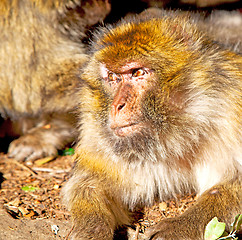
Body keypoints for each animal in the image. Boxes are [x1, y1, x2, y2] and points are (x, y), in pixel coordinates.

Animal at [61, 9, 241, 240]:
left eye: (137, 73)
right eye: (113, 77)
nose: (117, 106)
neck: (179, 133)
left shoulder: (232, 113)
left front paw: (178, 226)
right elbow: (89, 183)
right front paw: (91, 228)